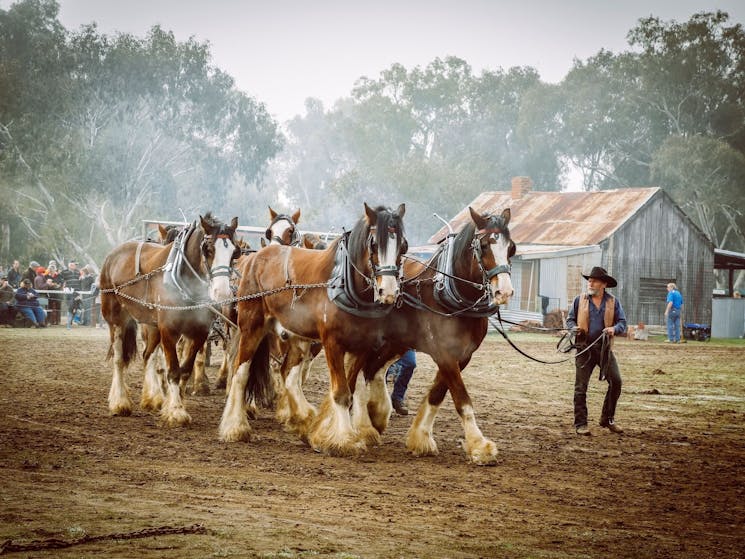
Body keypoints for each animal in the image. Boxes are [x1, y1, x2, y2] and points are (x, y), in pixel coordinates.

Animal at [99, 212, 238, 426]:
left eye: (234, 252)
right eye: (208, 249)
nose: (222, 293)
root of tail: (113, 254)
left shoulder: (198, 332)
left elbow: (185, 370)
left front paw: (176, 403)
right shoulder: (169, 330)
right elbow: (172, 370)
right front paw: (176, 411)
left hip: (152, 325)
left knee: (147, 355)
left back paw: (152, 398)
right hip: (116, 319)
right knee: (119, 359)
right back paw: (119, 402)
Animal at [221, 203, 406, 458]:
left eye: (403, 245)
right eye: (374, 244)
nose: (388, 291)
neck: (345, 286)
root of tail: (254, 258)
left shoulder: (361, 346)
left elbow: (349, 390)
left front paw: (325, 434)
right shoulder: (332, 343)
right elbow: (341, 393)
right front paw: (345, 440)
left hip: (297, 336)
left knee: (289, 375)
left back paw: (304, 421)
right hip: (251, 327)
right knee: (240, 372)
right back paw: (235, 428)